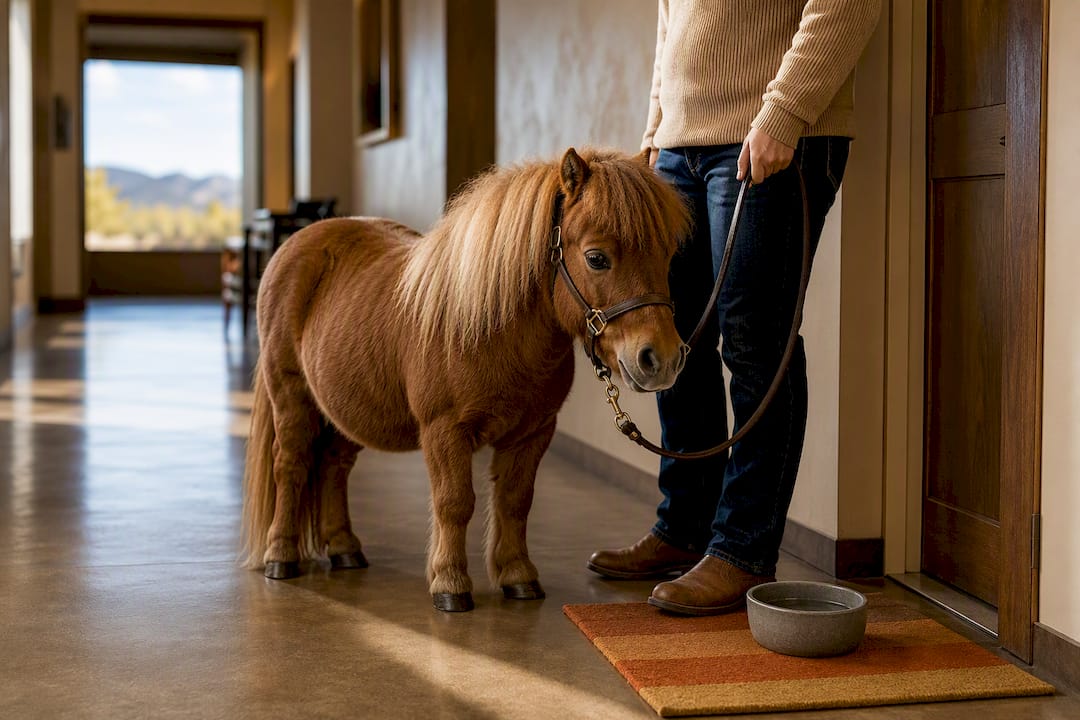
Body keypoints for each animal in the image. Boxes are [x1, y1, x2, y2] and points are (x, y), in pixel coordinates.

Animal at [240, 147, 691, 612]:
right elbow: (455, 503)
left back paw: (344, 547)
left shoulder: (532, 433)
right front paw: (450, 584)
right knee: (290, 465)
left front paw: (518, 577)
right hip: (290, 396)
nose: (661, 358)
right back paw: (280, 556)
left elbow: (515, 501)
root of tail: (297, 243)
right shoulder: (445, 432)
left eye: (667, 256)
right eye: (597, 258)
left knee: (334, 466)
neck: (492, 331)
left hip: (345, 408)